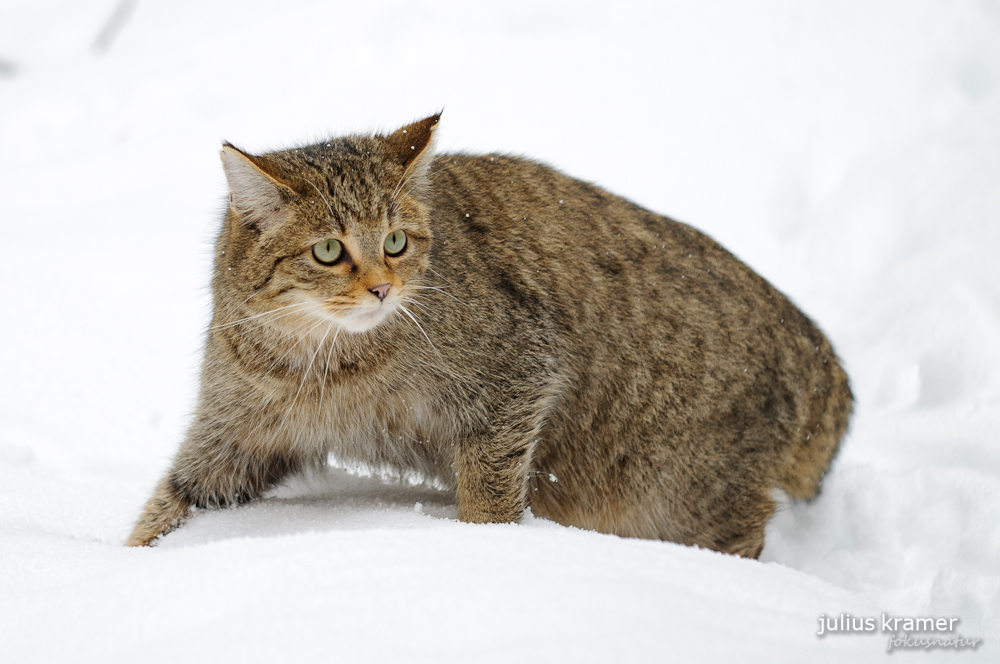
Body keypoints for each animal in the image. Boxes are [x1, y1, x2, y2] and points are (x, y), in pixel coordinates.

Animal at [129, 113, 856, 556]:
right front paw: (127, 572)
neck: (323, 363)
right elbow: (168, 504)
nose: (382, 288)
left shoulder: (517, 375)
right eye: (329, 251)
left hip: (682, 495)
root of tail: (813, 344)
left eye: (396, 242)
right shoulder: (232, 439)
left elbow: (489, 494)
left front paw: (486, 553)